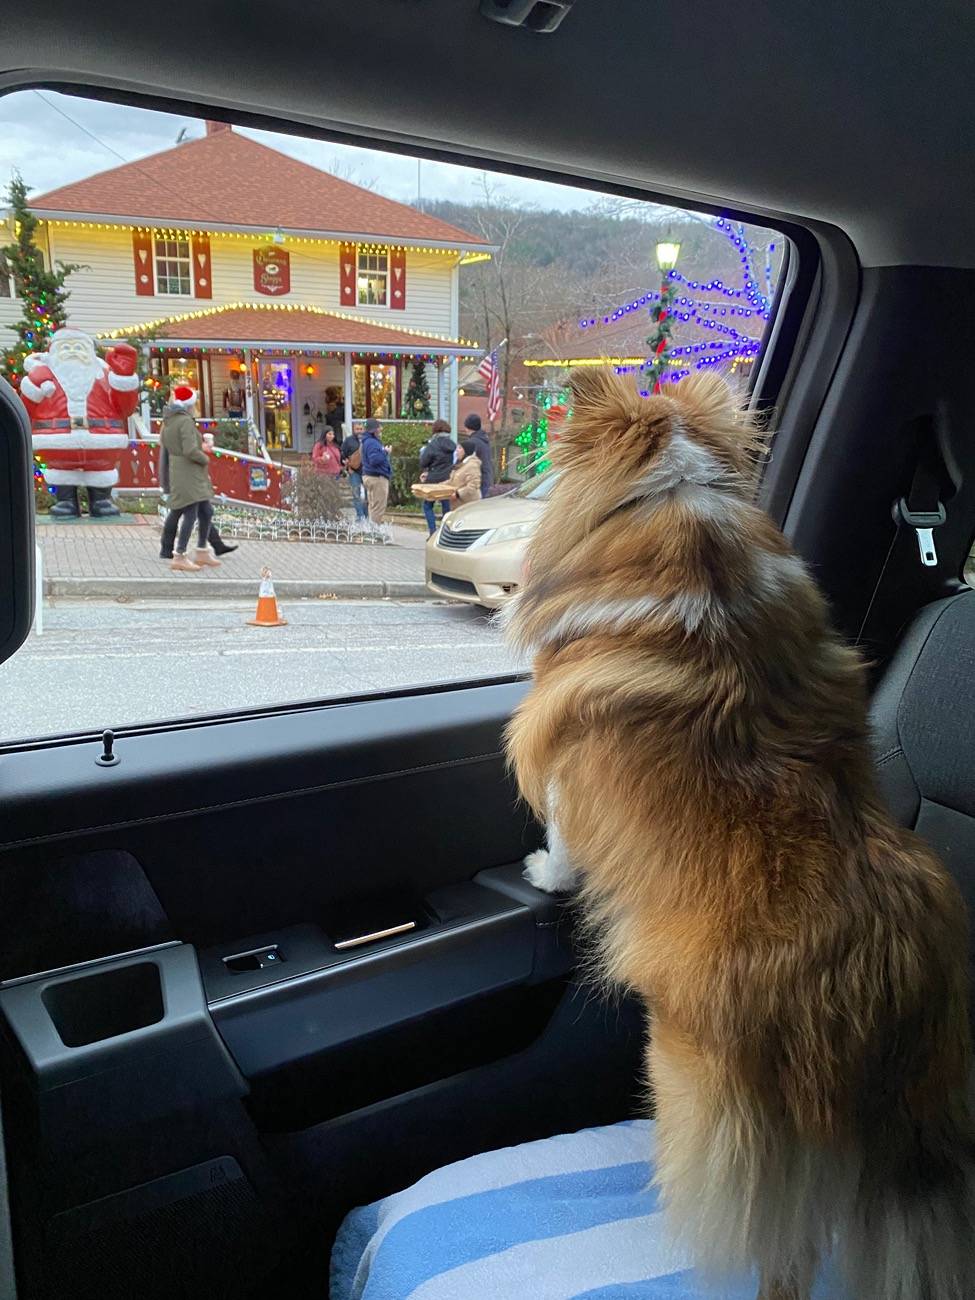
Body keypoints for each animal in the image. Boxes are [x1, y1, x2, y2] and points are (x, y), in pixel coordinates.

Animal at [504, 366, 975, 1300]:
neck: (671, 504)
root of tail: (882, 984)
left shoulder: (568, 775)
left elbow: (566, 838)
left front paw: (545, 872)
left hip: (700, 1088)